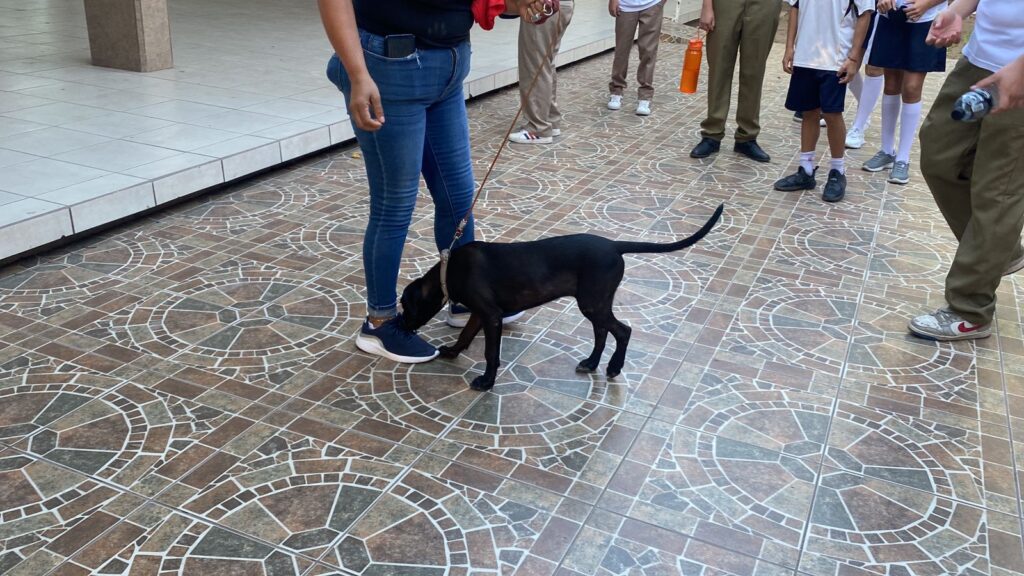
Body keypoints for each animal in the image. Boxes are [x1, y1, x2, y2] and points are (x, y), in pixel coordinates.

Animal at [403, 202, 724, 389]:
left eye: (405, 307)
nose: (399, 326)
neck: (449, 270)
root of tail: (614, 245)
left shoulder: (491, 316)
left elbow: (491, 353)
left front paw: (487, 381)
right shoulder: (482, 314)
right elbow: (465, 335)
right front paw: (453, 352)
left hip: (593, 302)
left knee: (622, 331)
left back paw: (613, 367)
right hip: (596, 303)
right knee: (603, 332)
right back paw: (592, 363)